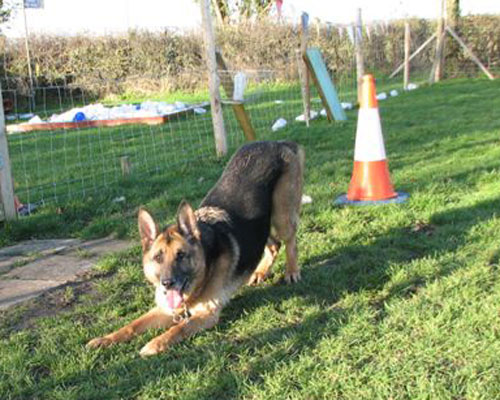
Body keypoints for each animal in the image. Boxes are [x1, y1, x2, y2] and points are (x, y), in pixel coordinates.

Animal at [87, 141, 302, 356]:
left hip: (281, 217)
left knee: (290, 241)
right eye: (158, 257)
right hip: (262, 224)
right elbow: (131, 325)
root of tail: (277, 143)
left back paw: (291, 272)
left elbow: (178, 328)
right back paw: (259, 272)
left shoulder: (207, 314)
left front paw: (155, 343)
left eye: (181, 255)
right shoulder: (163, 309)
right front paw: (105, 339)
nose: (167, 283)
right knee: (274, 245)